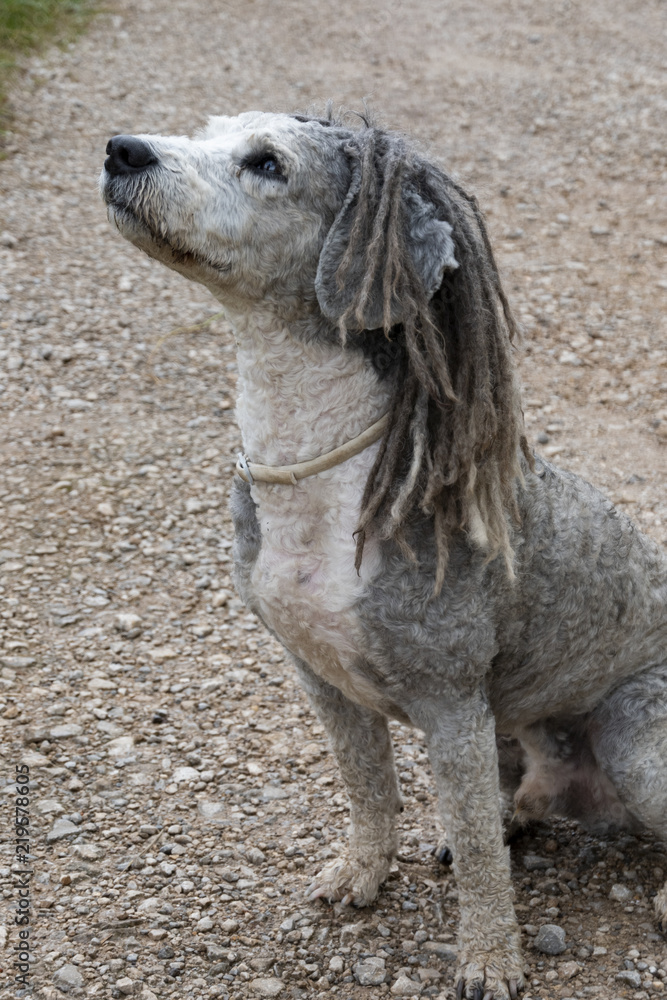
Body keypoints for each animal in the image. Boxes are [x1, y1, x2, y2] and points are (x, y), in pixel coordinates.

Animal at [100, 111, 667, 1000]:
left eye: (267, 163)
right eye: (207, 129)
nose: (122, 150)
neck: (329, 469)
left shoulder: (449, 700)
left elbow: (477, 861)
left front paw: (488, 961)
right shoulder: (321, 676)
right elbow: (368, 787)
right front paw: (361, 873)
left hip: (634, 738)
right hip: (510, 728)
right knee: (507, 802)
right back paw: (513, 813)